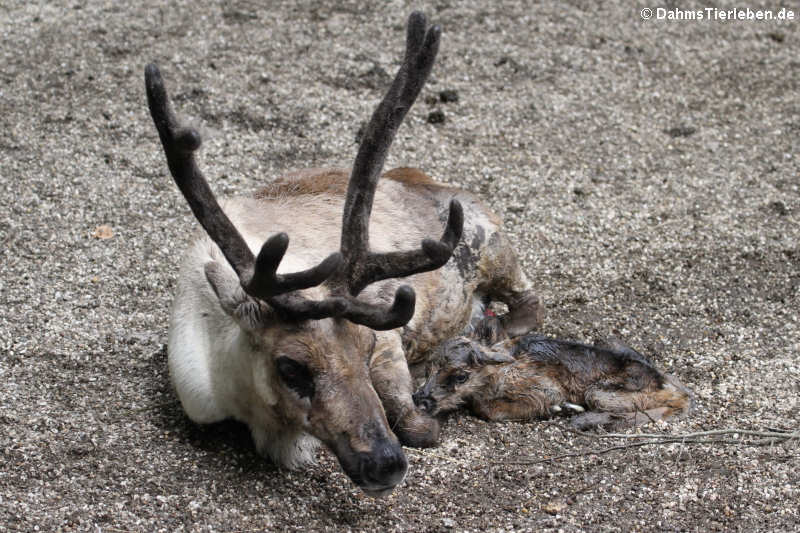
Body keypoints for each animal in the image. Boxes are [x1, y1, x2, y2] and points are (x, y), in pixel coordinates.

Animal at [416, 316, 692, 428]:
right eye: (428, 370)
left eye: (460, 375)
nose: (420, 400)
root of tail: (664, 382)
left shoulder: (545, 389)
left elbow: (487, 409)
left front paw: (558, 409)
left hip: (599, 392)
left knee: (674, 405)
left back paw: (583, 419)